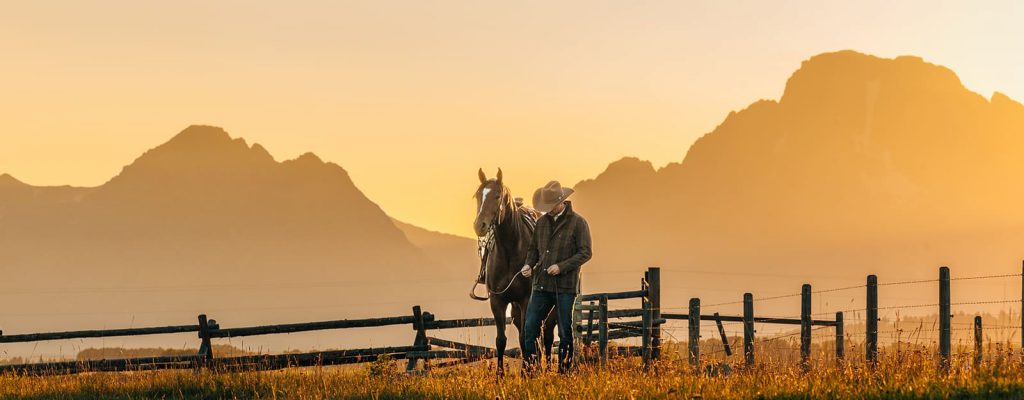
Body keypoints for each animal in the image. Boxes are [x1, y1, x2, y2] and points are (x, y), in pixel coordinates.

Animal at [470, 168, 557, 376]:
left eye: (497, 195)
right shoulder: (497, 300)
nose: (479, 225)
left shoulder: (527, 300)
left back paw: (547, 369)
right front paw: (500, 376)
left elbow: (527, 337)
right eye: (478, 195)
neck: (510, 249)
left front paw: (527, 373)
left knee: (547, 335)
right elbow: (501, 340)